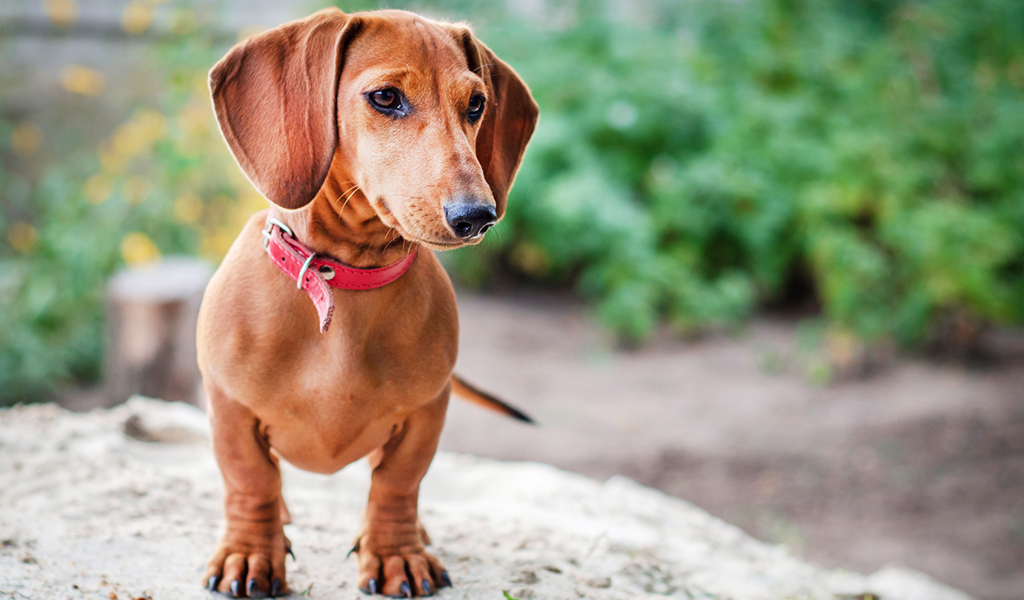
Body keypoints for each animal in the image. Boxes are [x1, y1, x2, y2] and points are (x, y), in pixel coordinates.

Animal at [194, 7, 540, 593]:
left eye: (476, 104)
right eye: (385, 98)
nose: (477, 216)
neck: (343, 282)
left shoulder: (425, 413)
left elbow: (397, 485)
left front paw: (396, 553)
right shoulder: (231, 409)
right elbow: (251, 480)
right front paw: (250, 553)